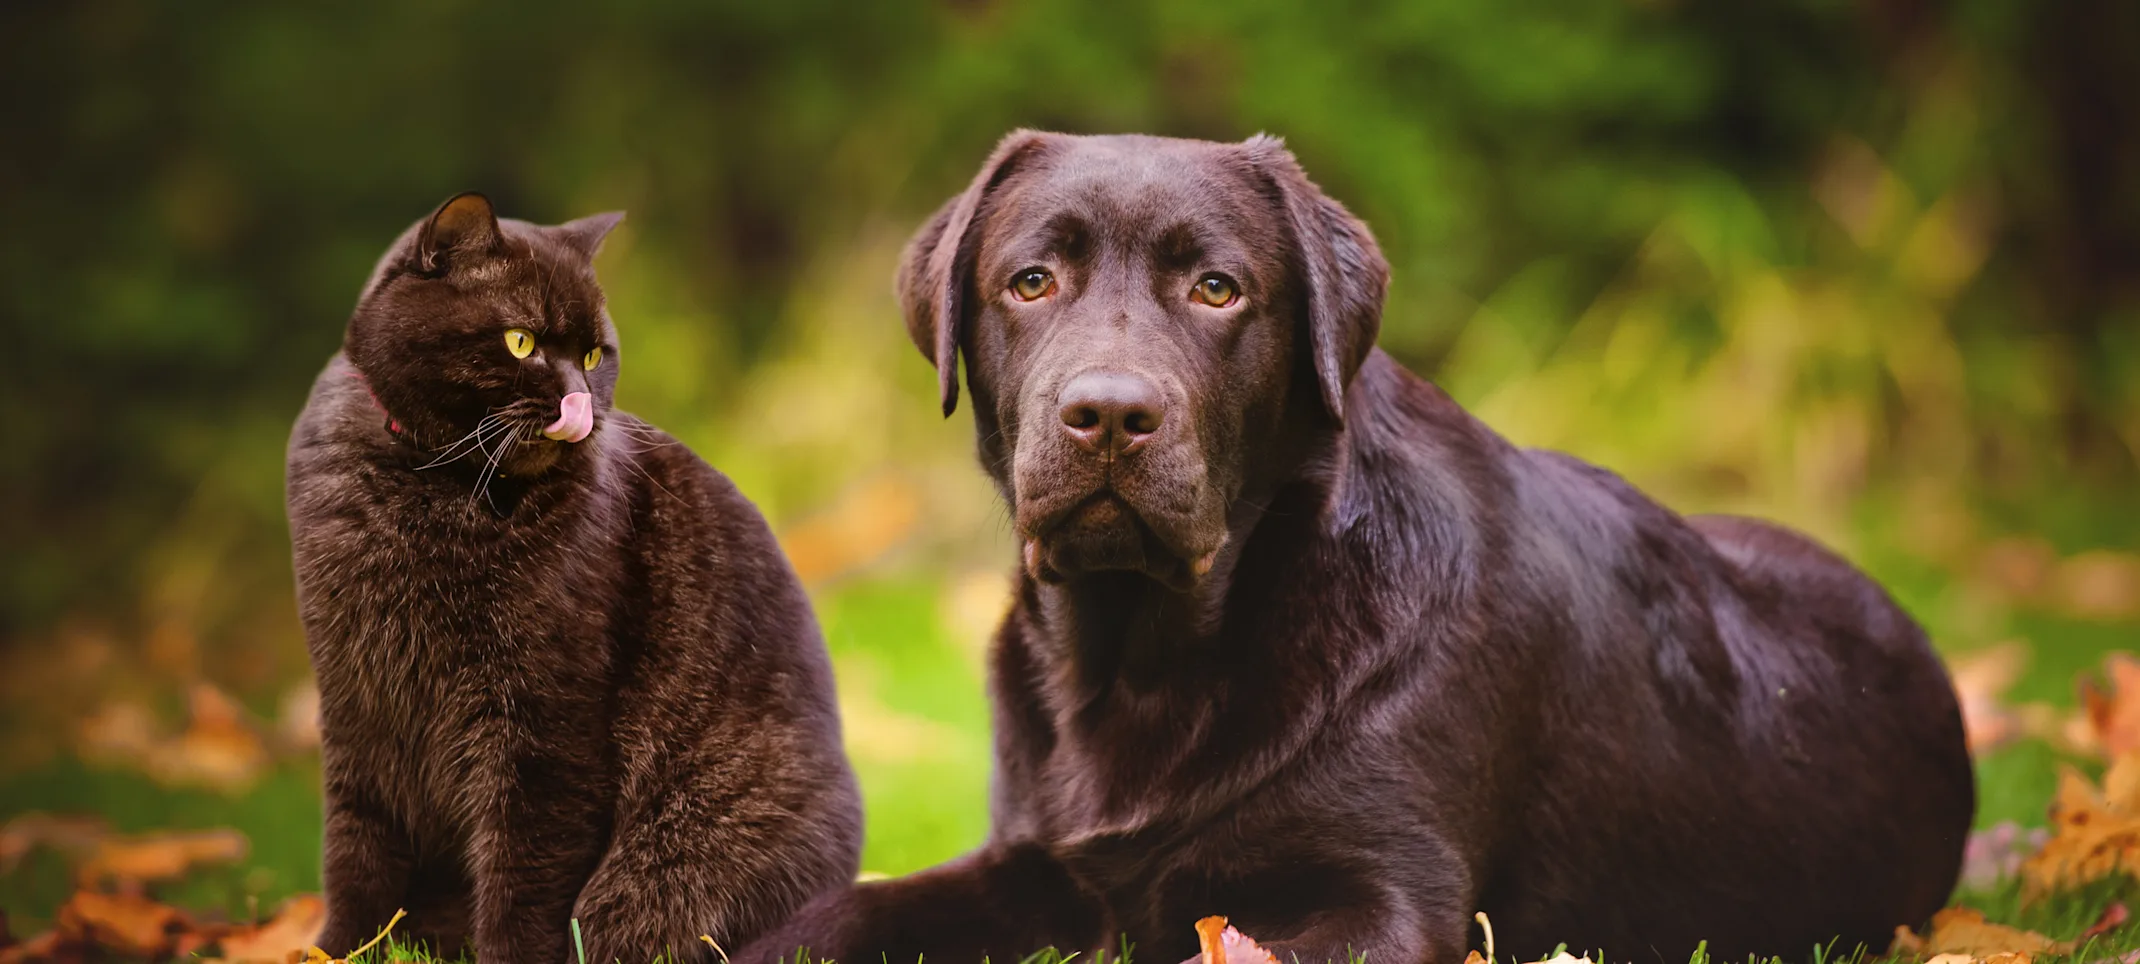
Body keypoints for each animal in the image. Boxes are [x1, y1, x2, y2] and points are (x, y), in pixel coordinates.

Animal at [284, 193, 860, 964]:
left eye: (593, 354)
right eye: (521, 342)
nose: (578, 396)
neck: (427, 488)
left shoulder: (544, 726)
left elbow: (524, 875)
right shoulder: (356, 704)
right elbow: (356, 852)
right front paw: (343, 949)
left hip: (670, 865)